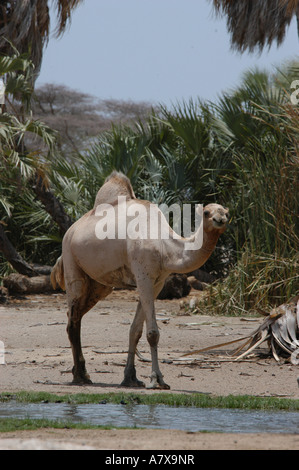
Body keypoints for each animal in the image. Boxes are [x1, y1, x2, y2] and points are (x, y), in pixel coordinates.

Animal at [51, 172, 230, 390]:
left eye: (226, 212)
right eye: (206, 212)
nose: (220, 219)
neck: (164, 247)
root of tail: (70, 232)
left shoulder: (157, 282)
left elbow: (135, 330)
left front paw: (131, 378)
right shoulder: (143, 276)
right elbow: (152, 333)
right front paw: (157, 379)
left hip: (99, 285)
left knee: (75, 315)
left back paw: (81, 372)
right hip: (72, 264)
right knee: (73, 320)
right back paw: (80, 376)